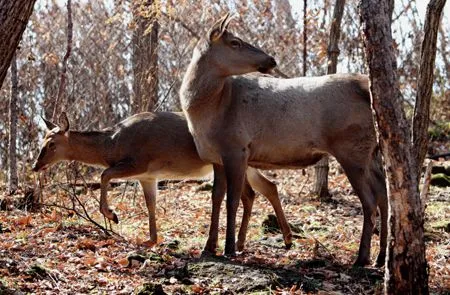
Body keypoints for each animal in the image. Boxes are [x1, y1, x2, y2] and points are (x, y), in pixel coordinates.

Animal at [31, 112, 292, 251]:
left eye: (51, 144)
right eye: (42, 140)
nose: (35, 165)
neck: (112, 145)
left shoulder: (139, 162)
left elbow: (104, 175)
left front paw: (112, 214)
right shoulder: (148, 176)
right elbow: (151, 205)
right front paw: (151, 239)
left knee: (258, 190)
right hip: (247, 164)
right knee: (264, 188)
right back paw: (269, 240)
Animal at [181, 14, 388, 268]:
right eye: (235, 42)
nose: (271, 59)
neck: (208, 110)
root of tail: (366, 87)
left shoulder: (237, 148)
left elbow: (233, 199)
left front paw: (229, 248)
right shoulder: (215, 157)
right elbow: (216, 197)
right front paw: (208, 247)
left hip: (351, 148)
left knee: (370, 201)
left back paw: (362, 257)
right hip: (371, 151)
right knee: (384, 194)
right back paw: (380, 257)